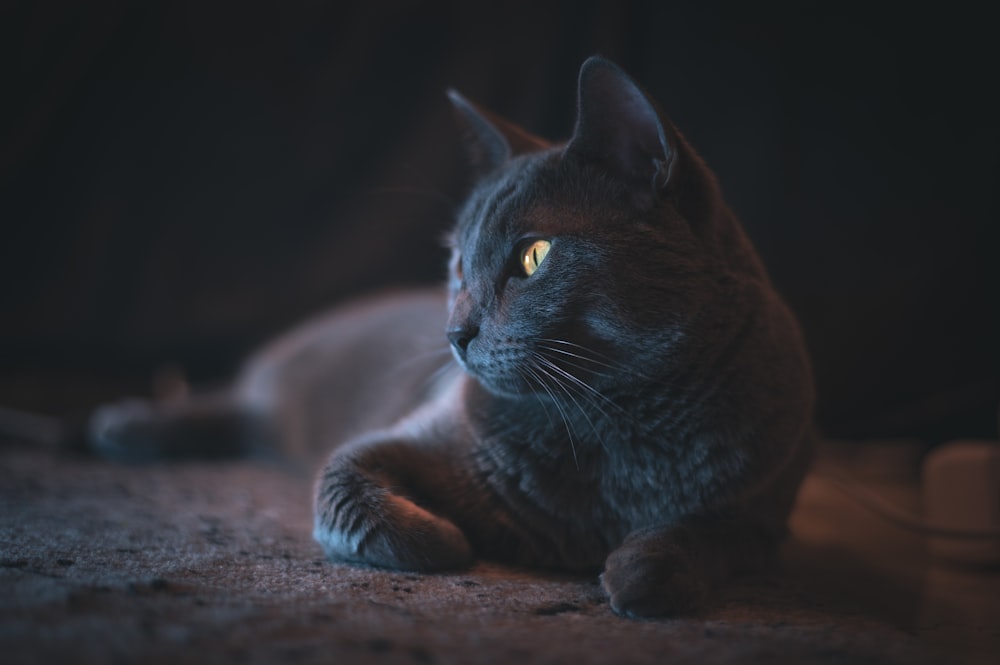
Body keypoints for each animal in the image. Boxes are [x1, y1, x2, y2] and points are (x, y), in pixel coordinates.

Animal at [82, 57, 816, 616]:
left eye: (533, 256)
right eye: (458, 262)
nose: (455, 332)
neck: (614, 427)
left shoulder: (760, 517)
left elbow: (703, 537)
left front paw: (643, 574)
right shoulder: (408, 436)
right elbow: (345, 486)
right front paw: (450, 540)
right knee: (231, 400)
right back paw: (123, 425)